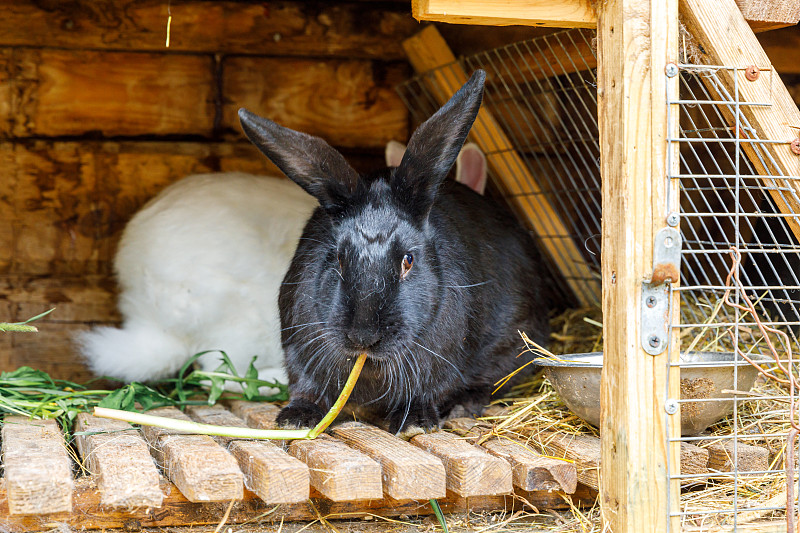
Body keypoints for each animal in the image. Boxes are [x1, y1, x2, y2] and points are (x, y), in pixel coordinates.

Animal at [234, 68, 552, 432]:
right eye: (338, 259)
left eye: (408, 261)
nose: (363, 336)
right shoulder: (298, 352)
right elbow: (305, 386)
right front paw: (295, 418)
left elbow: (428, 390)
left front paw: (415, 421)